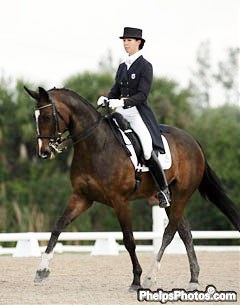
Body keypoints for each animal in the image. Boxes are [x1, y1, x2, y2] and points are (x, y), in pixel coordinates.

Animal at [23, 86, 239, 290]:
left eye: (48, 116)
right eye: (34, 117)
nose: (44, 152)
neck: (96, 146)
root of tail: (193, 141)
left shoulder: (121, 201)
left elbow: (129, 240)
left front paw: (136, 280)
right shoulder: (82, 197)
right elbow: (58, 226)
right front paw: (42, 270)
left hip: (182, 194)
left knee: (170, 232)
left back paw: (151, 277)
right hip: (172, 199)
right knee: (184, 231)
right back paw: (193, 279)